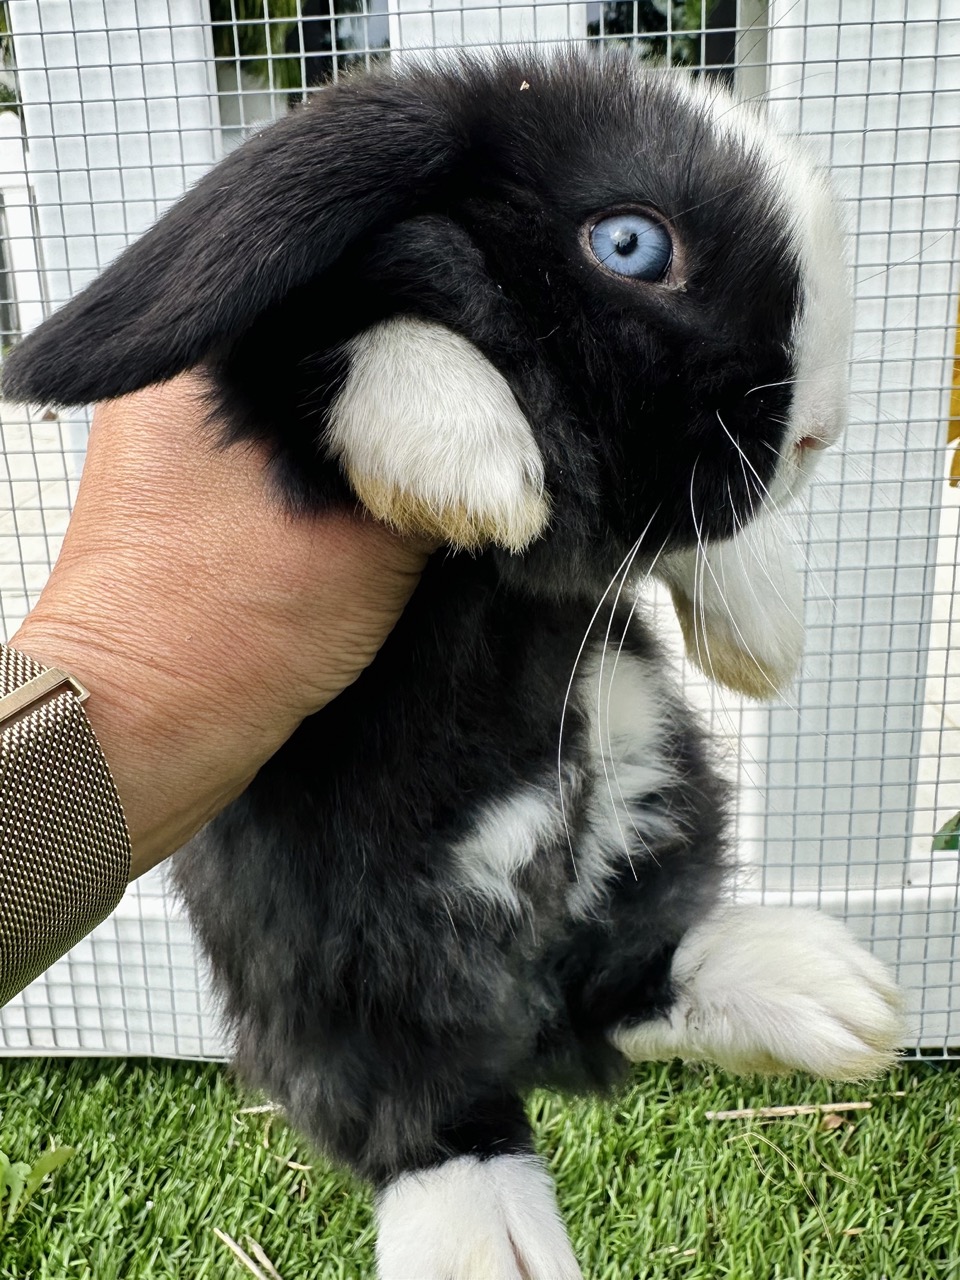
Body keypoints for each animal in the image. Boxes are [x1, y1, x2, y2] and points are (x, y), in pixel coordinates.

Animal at [3, 49, 902, 1280]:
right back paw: (488, 1236)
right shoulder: (263, 371)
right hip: (339, 972)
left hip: (651, 790)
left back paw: (829, 994)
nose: (819, 433)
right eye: (631, 245)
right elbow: (361, 343)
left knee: (619, 984)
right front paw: (476, 467)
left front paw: (767, 625)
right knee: (420, 1110)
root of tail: (521, 992)